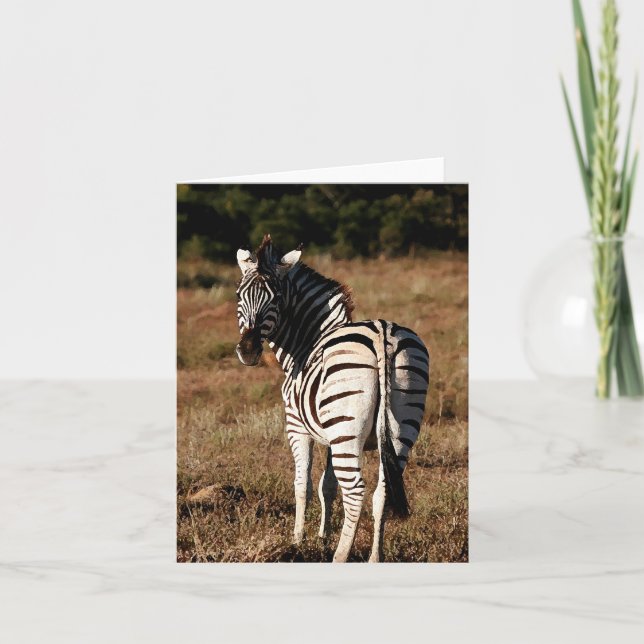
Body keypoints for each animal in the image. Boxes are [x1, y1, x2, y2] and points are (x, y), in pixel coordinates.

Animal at [234, 234, 429, 562]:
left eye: (276, 298)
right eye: (239, 295)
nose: (248, 351)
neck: (307, 341)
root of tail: (382, 332)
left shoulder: (297, 426)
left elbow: (302, 483)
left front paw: (299, 539)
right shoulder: (329, 434)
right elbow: (327, 485)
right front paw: (322, 536)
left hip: (347, 431)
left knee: (356, 493)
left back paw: (340, 556)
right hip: (398, 425)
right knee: (382, 493)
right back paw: (374, 558)